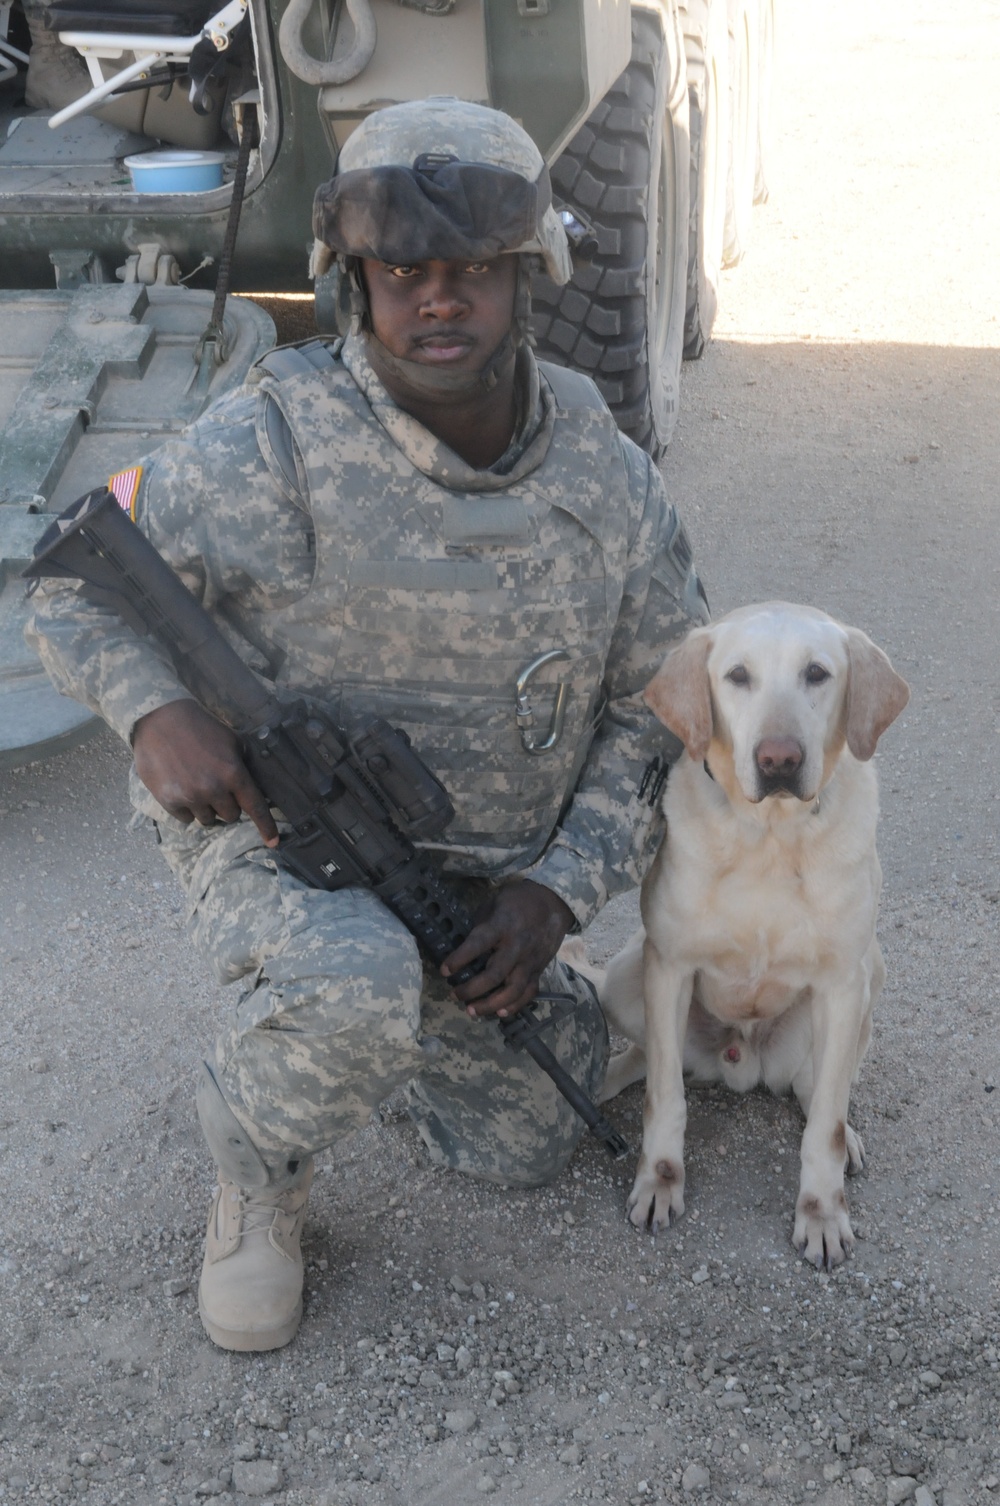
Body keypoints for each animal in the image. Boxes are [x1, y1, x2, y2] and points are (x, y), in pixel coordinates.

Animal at [596, 599, 909, 1271]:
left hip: (870, 978)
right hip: (625, 975)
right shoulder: (670, 967)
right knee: (645, 1058)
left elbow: (823, 1129)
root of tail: (739, 1064)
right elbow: (665, 1098)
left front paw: (822, 1212)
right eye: (737, 676)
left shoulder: (843, 984)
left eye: (817, 673)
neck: (770, 836)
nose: (779, 759)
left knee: (818, 1092)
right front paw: (658, 1180)